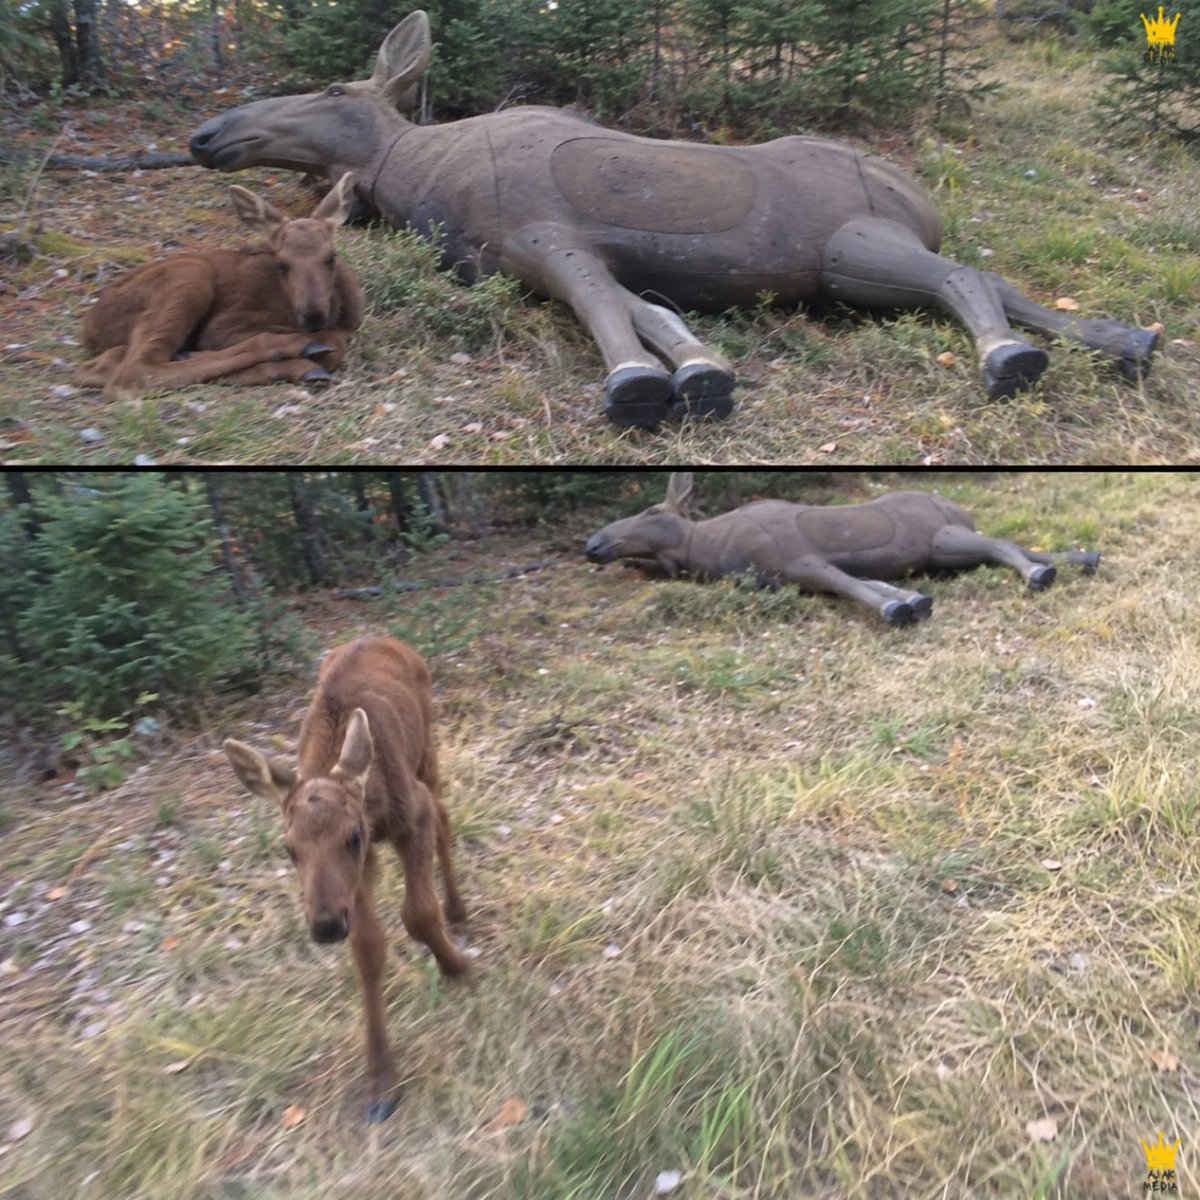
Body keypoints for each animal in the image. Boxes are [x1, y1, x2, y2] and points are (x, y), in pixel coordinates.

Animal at [74, 174, 363, 399]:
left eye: (331, 257)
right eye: (281, 264)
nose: (313, 315)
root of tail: (88, 328)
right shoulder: (223, 326)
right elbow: (333, 344)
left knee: (102, 365)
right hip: (190, 273)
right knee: (133, 372)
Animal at [189, 10, 1159, 430]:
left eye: (331, 88)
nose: (208, 132)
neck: (415, 175)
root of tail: (918, 193)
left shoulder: (540, 232)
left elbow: (604, 310)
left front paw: (635, 385)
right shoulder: (534, 252)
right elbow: (649, 310)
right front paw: (699, 372)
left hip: (850, 246)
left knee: (965, 276)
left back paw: (1012, 360)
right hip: (859, 267)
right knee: (988, 275)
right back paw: (1130, 342)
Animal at [222, 636, 469, 1124]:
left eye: (352, 835)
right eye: (289, 849)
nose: (325, 926)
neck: (372, 807)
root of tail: (383, 638)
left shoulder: (408, 816)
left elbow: (418, 912)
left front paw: (457, 966)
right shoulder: (362, 867)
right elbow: (368, 946)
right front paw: (380, 1081)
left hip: (427, 746)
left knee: (445, 816)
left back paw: (457, 907)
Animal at [585, 473, 1100, 626]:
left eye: (652, 510)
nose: (594, 543)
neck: (705, 551)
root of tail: (954, 505)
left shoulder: (800, 560)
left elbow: (852, 585)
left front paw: (897, 610)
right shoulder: (788, 574)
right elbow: (865, 581)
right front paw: (909, 599)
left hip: (942, 538)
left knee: (1003, 542)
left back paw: (1042, 575)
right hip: (942, 554)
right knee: (1012, 545)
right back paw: (1085, 558)